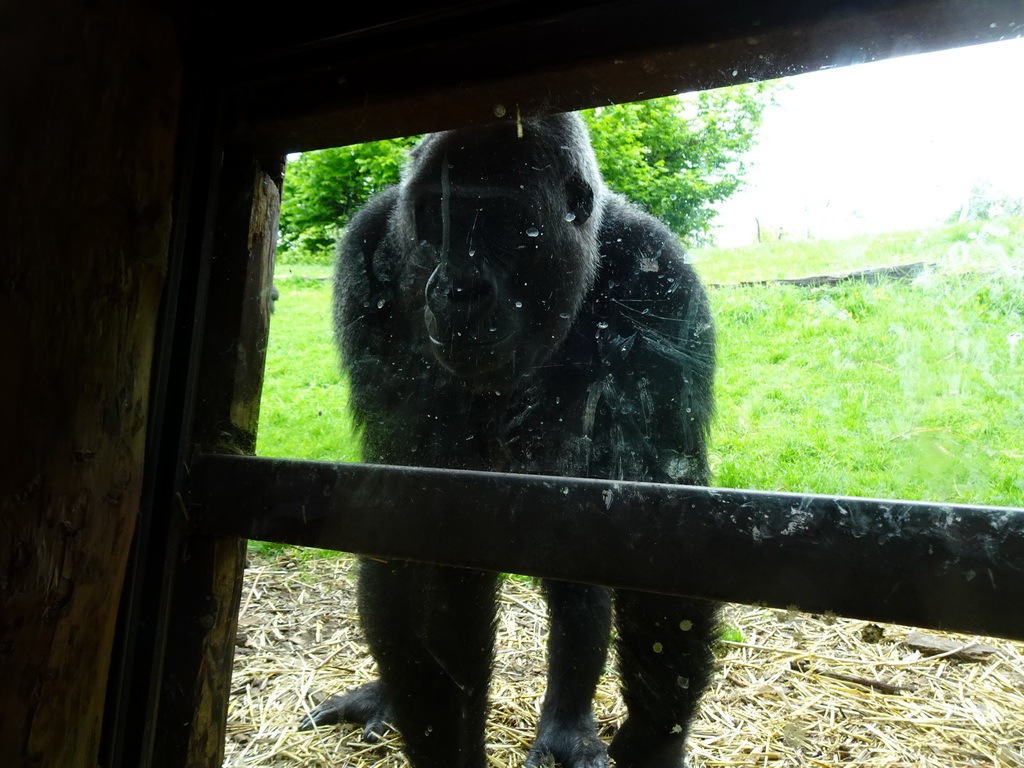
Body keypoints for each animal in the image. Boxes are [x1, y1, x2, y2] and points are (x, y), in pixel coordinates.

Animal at [301, 112, 720, 768]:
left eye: (498, 222)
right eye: (433, 220)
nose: (455, 289)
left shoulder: (661, 279)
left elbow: (662, 506)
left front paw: (655, 740)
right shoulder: (370, 253)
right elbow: (418, 517)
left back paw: (568, 722)